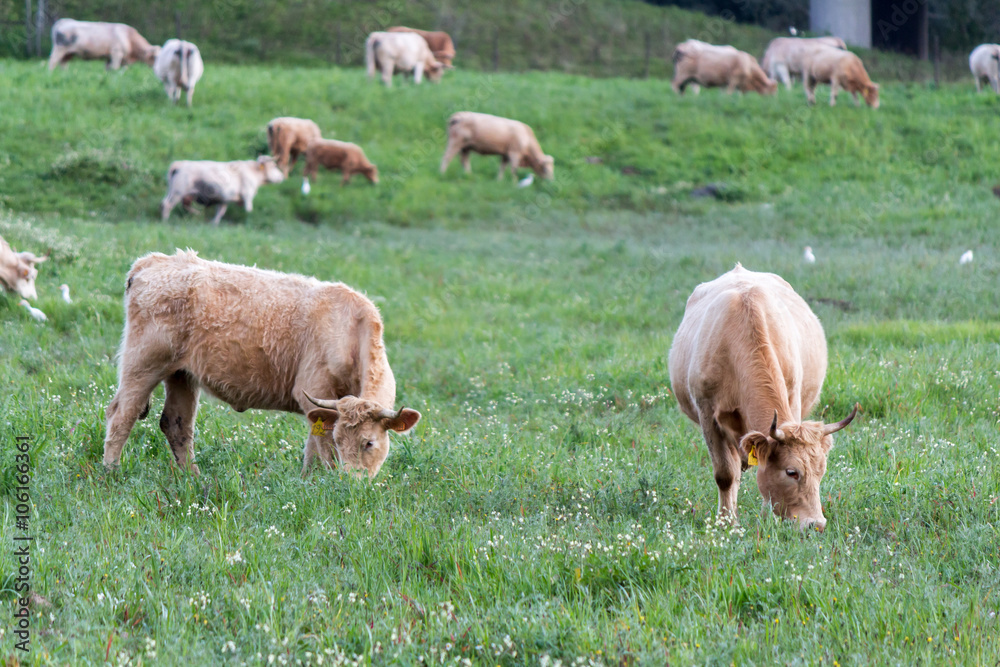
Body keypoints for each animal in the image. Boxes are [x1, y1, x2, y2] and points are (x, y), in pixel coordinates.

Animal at [104, 248, 422, 478]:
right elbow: (324, 452)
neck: (352, 330)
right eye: (340, 439)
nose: (352, 482)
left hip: (181, 375)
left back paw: (191, 478)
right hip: (142, 365)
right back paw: (112, 472)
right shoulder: (314, 391)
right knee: (121, 414)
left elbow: (312, 449)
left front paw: (308, 482)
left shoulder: (320, 406)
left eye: (369, 442)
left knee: (176, 424)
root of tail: (152, 262)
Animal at [668, 266, 856, 532]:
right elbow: (725, 475)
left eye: (821, 471)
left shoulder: (793, 401)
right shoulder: (707, 415)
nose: (816, 524)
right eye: (791, 472)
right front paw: (727, 523)